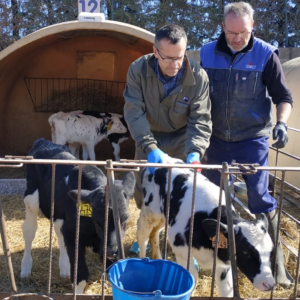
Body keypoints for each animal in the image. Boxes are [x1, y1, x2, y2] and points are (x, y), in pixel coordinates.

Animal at [19, 138, 135, 292]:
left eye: (125, 219)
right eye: (97, 220)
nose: (111, 251)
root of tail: (43, 142)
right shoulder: (74, 235)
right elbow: (80, 273)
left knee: (58, 230)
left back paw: (64, 268)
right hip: (31, 197)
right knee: (29, 230)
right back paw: (25, 269)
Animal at [137, 161, 276, 296]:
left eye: (270, 252)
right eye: (245, 253)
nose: (269, 284)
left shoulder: (224, 264)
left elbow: (227, 289)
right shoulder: (179, 245)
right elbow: (192, 276)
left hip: (163, 216)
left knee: (154, 232)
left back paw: (157, 257)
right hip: (150, 212)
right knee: (142, 235)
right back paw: (142, 259)